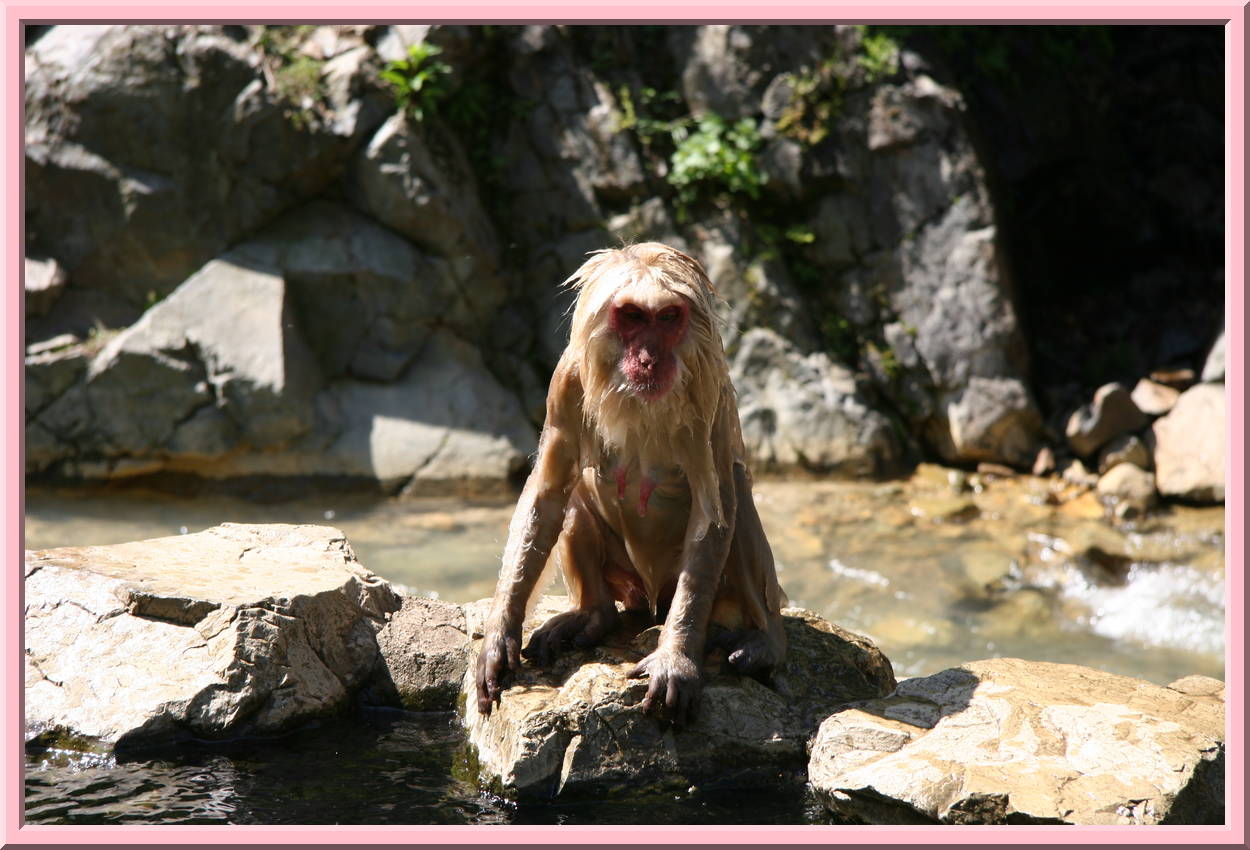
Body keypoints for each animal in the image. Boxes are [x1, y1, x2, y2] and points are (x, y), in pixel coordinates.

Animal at [475, 242, 787, 726]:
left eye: (668, 318)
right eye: (634, 317)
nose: (649, 357)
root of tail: (650, 599)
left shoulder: (709, 383)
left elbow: (712, 509)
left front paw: (675, 656)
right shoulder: (567, 378)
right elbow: (547, 494)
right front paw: (499, 634)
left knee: (732, 489)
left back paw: (765, 641)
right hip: (626, 580)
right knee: (575, 493)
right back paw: (594, 616)